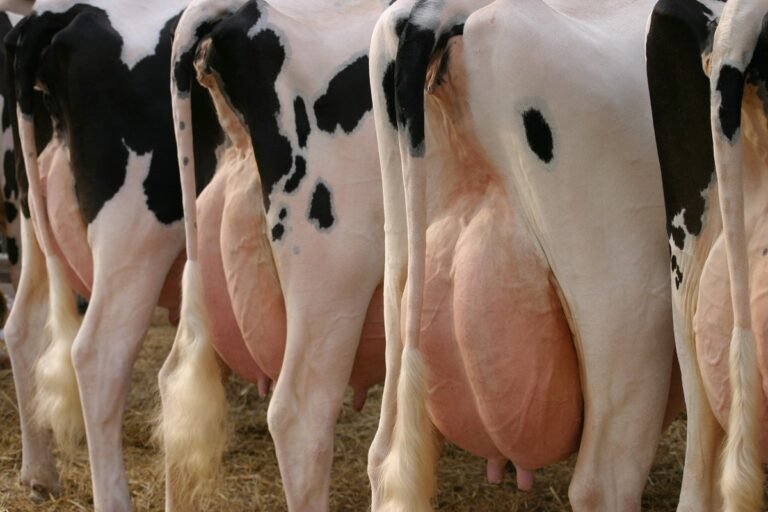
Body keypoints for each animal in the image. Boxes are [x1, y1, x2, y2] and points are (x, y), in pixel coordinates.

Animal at [2, 0, 222, 508]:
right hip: (137, 234)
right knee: (97, 355)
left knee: (22, 328)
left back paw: (39, 474)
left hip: (34, 219)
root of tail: (63, 14)